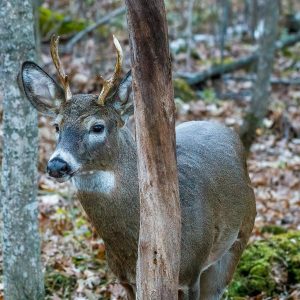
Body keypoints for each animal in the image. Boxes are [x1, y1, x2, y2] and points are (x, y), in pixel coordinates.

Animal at [19, 35, 255, 300]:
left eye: (97, 127)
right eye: (57, 126)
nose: (57, 164)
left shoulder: (190, 272)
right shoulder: (124, 279)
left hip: (240, 235)